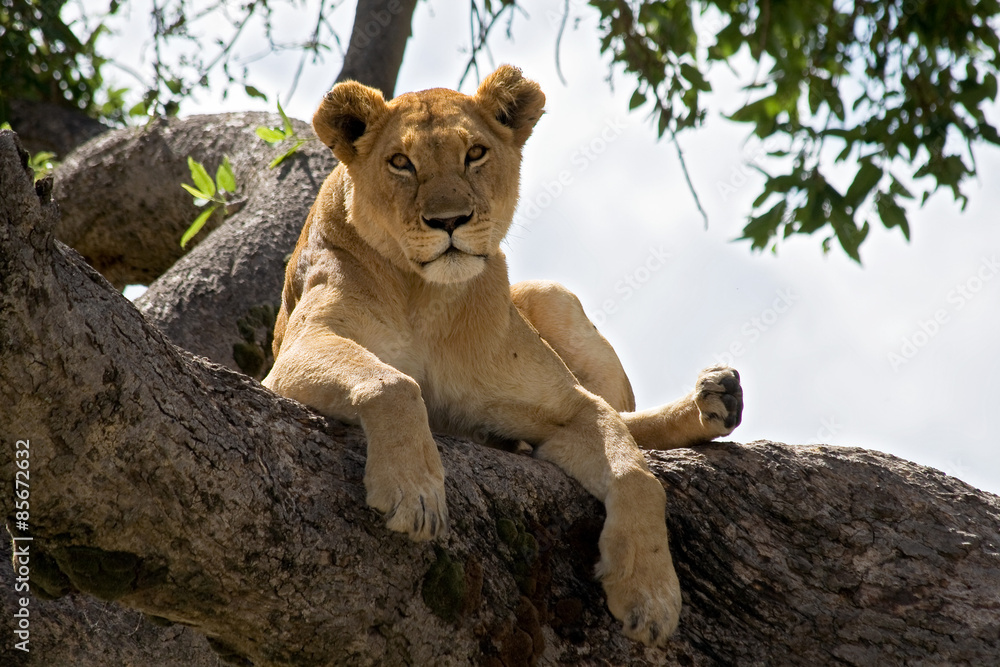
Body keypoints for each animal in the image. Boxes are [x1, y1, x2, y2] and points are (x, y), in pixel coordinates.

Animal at [261, 65, 743, 647]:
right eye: (401, 162)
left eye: (475, 153)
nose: (450, 220)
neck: (429, 299)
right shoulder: (295, 352)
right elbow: (394, 383)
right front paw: (414, 492)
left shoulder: (569, 405)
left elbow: (635, 473)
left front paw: (650, 596)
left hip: (552, 294)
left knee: (625, 414)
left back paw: (715, 398)